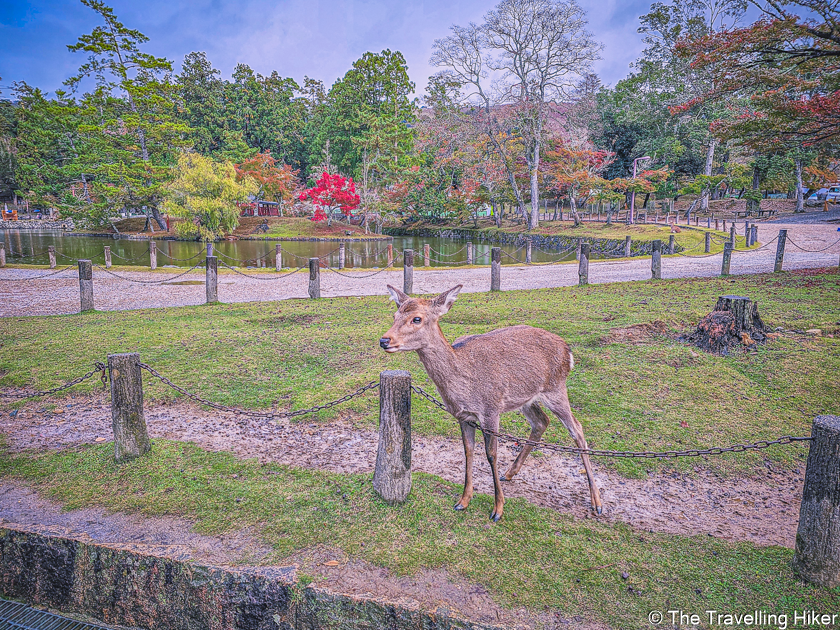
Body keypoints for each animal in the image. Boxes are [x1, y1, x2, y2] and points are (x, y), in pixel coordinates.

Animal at [378, 286, 600, 524]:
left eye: (417, 318)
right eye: (395, 315)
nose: (384, 340)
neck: (463, 385)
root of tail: (568, 350)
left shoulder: (491, 409)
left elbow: (491, 454)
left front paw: (498, 509)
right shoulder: (464, 416)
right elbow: (468, 450)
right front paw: (463, 501)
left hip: (556, 388)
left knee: (577, 429)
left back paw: (597, 502)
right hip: (526, 397)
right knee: (541, 422)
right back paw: (510, 473)